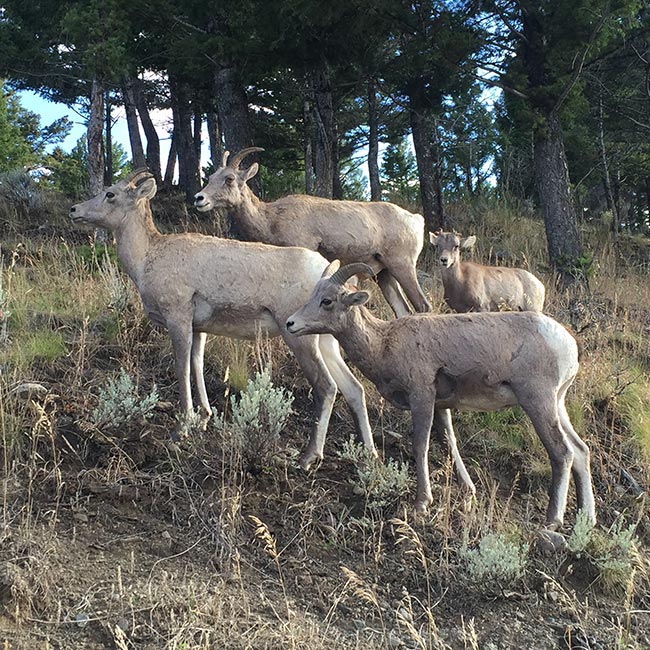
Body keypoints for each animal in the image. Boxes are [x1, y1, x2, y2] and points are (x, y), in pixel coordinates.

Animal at [67, 168, 374, 466]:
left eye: (110, 193)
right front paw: (203, 418)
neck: (146, 260)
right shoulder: (199, 328)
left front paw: (181, 429)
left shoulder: (178, 318)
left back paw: (308, 457)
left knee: (327, 387)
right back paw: (369, 454)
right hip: (327, 342)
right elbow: (197, 365)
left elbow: (182, 368)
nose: (74, 210)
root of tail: (327, 273)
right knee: (354, 388)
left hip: (300, 338)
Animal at [192, 147, 430, 318]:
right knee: (403, 311)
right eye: (211, 177)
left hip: (402, 265)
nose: (199, 198)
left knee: (423, 305)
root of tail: (417, 220)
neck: (271, 220)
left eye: (230, 178)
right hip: (384, 273)